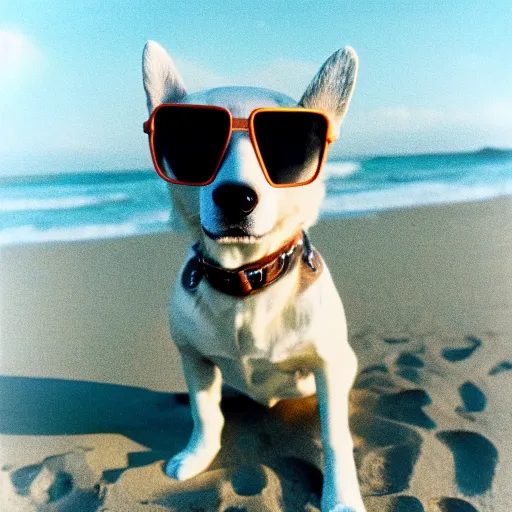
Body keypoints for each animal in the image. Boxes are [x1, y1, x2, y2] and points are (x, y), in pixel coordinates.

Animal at [142, 41, 366, 512]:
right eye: (192, 141)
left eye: (288, 148)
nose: (236, 197)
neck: (246, 280)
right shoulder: (195, 358)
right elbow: (204, 413)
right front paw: (198, 454)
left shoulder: (329, 366)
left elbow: (335, 436)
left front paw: (341, 497)